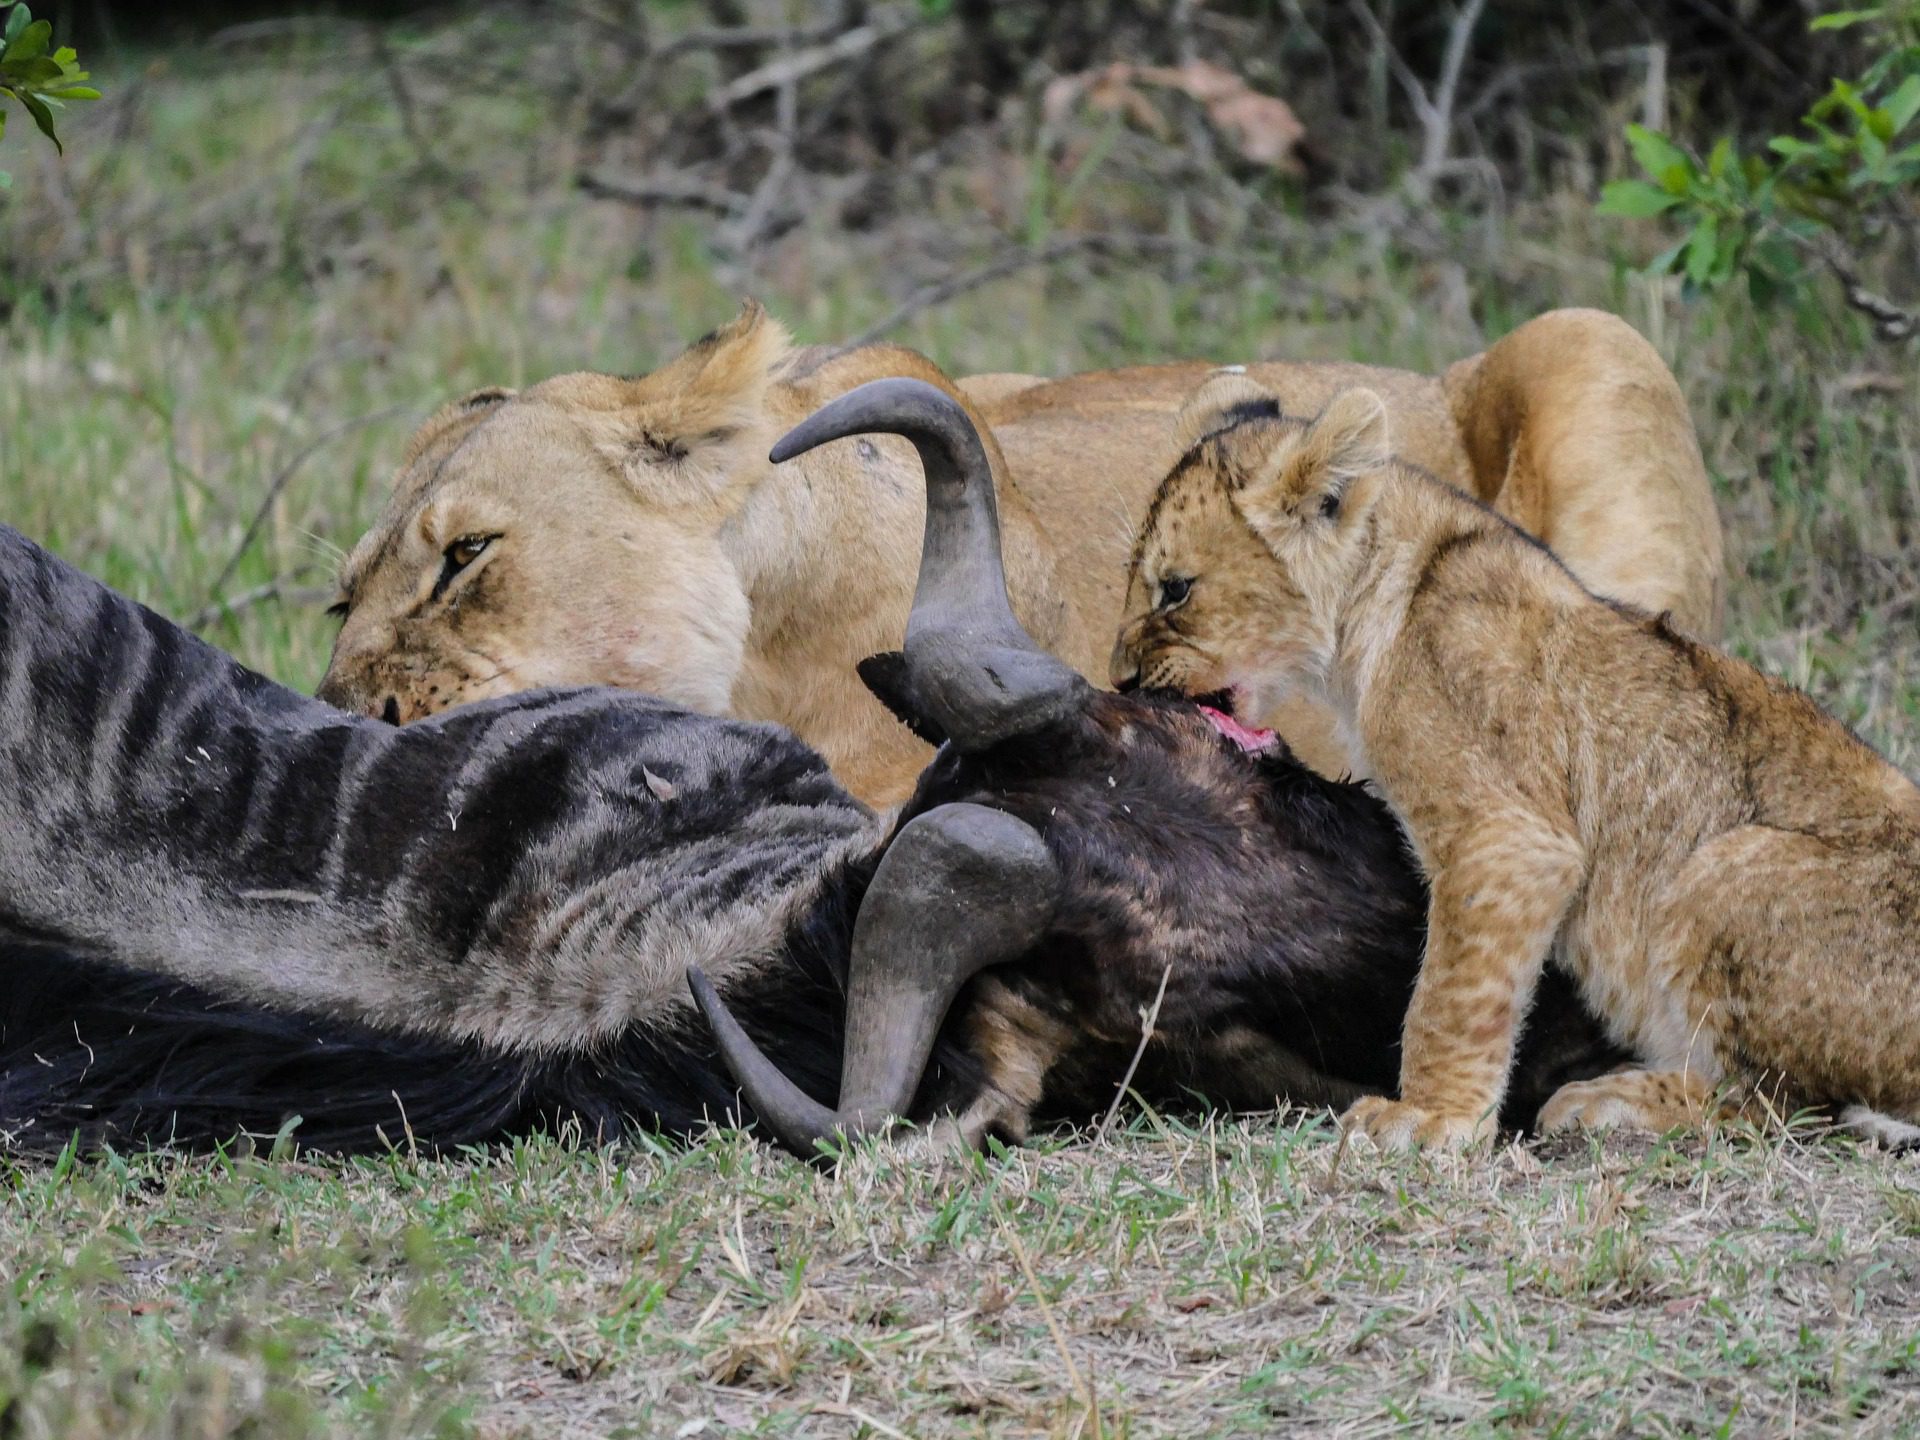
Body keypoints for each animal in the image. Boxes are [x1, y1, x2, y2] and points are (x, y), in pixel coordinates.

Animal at [1113, 377, 1920, 1151]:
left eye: (1174, 588)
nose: (1121, 680)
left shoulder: (1505, 835)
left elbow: (1452, 991)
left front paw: (1431, 1118)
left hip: (1724, 867)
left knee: (1785, 1104)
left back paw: (1611, 1102)